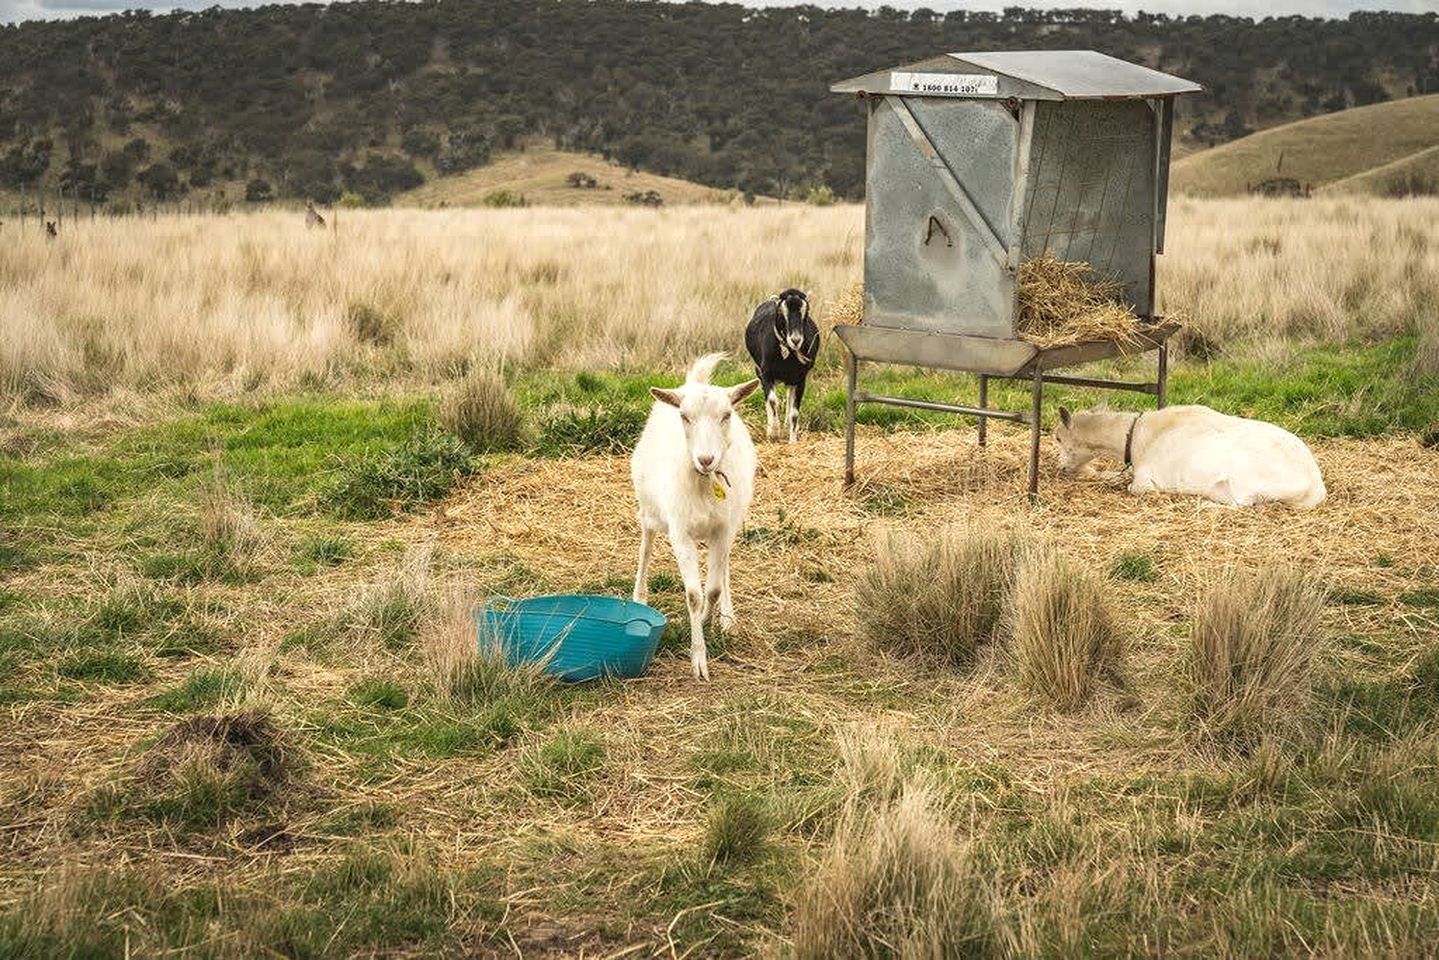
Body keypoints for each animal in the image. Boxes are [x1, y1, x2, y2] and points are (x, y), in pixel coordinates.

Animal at [631, 353, 761, 680]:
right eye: (684, 416)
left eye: (726, 414)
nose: (706, 459)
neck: (704, 484)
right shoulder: (680, 533)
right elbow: (693, 594)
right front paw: (698, 660)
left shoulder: (723, 529)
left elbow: (711, 590)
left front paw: (708, 620)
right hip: (648, 510)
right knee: (645, 548)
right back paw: (639, 596)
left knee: (724, 568)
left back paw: (728, 617)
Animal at [744, 288, 820, 442]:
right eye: (780, 312)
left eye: (806, 312)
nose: (796, 340)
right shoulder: (766, 374)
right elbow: (773, 401)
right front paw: (773, 433)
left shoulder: (800, 378)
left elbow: (794, 412)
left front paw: (792, 440)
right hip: (759, 371)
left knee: (789, 398)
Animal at [1055, 404, 1326, 509]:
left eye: (1058, 438)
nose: (1060, 468)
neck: (1138, 433)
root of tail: (1315, 485)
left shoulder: (1145, 481)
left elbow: (1131, 486)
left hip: (1247, 479)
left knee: (1242, 503)